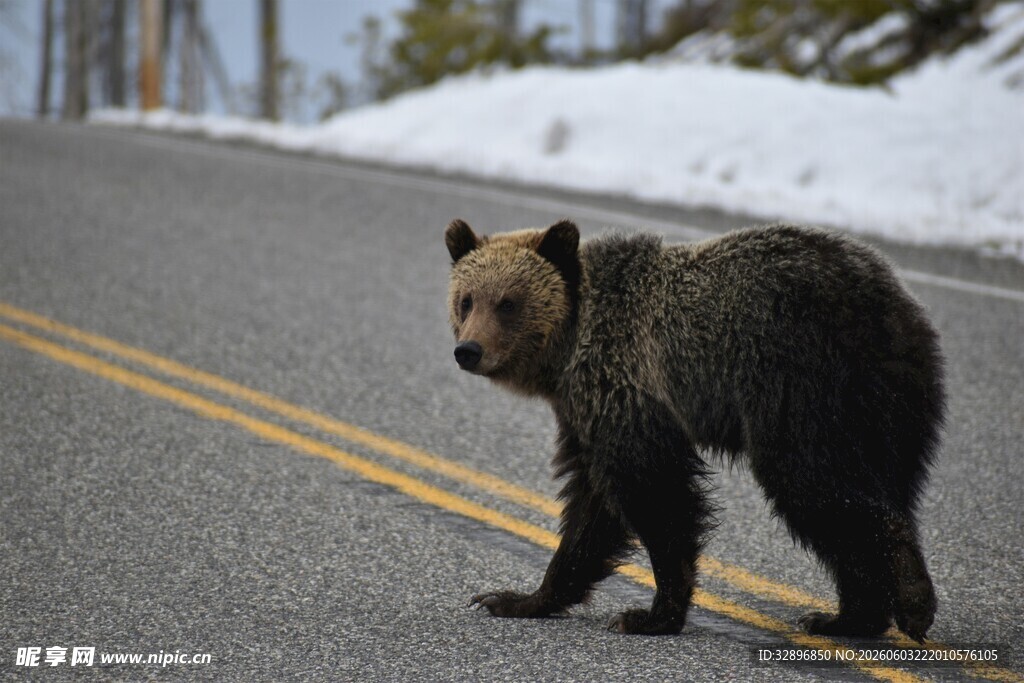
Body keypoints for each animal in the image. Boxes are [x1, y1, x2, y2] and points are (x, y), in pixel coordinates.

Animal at [445, 218, 944, 641]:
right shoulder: (584, 414)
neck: (568, 348)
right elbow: (592, 510)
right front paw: (514, 598)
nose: (468, 350)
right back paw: (846, 617)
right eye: (466, 299)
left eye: (508, 303)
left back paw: (912, 602)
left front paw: (649, 614)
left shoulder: (626, 383)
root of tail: (893, 304)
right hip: (888, 412)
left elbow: (655, 495)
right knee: (872, 489)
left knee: (814, 483)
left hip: (803, 382)